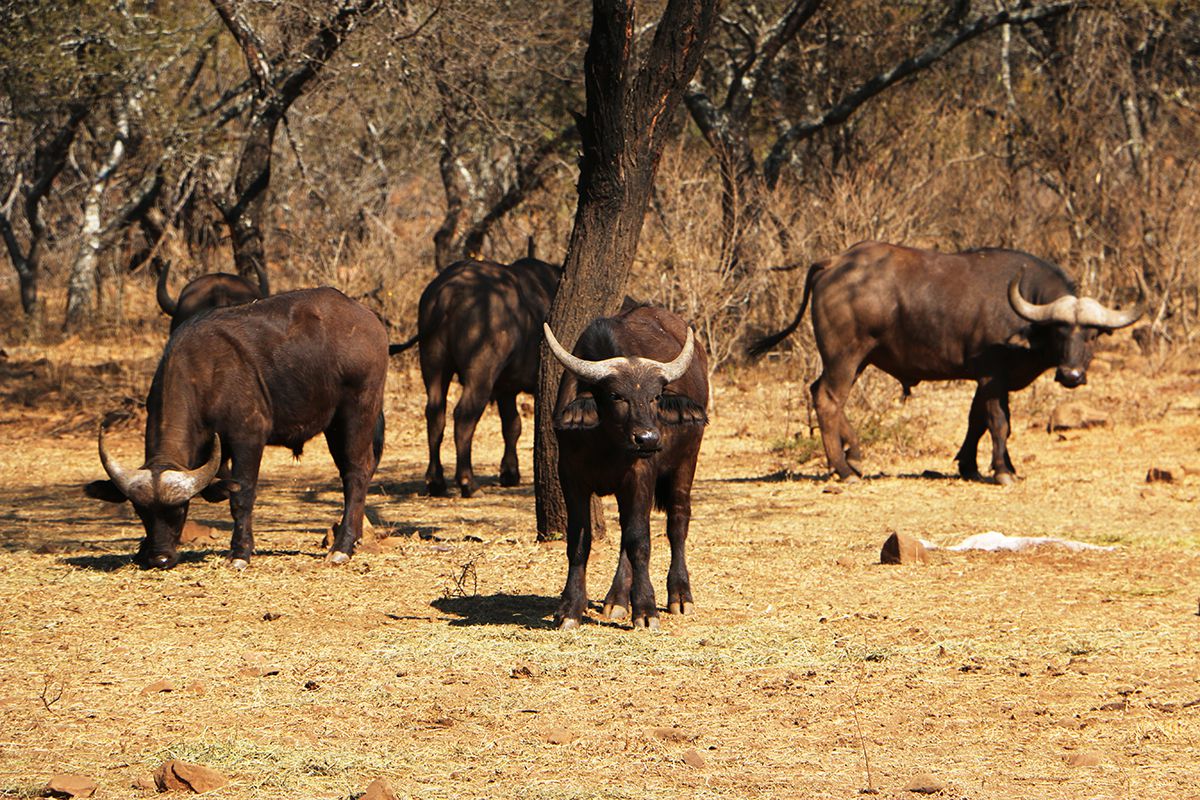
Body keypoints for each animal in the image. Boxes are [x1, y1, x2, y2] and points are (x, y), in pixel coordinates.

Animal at [84, 287, 384, 568]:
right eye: (140, 512)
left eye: (180, 510)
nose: (160, 558)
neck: (203, 373)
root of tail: (368, 318)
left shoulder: (247, 438)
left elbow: (242, 495)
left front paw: (240, 553)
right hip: (333, 425)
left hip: (356, 412)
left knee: (356, 473)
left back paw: (342, 547)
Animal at [393, 250, 561, 501]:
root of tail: (448, 291)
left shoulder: (506, 389)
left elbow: (512, 426)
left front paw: (509, 473)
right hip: (480, 374)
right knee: (464, 416)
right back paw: (468, 482)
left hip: (433, 366)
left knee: (435, 413)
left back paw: (436, 481)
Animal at [547, 307, 705, 633]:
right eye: (616, 395)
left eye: (656, 396)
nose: (649, 439)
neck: (606, 442)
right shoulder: (571, 478)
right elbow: (578, 542)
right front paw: (570, 608)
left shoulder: (640, 476)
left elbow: (639, 541)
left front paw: (645, 609)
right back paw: (618, 599)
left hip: (686, 462)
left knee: (677, 523)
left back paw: (680, 596)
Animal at [748, 241, 1142, 484]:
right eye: (1059, 331)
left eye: (1092, 335)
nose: (1071, 375)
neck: (1025, 317)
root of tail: (835, 262)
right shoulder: (993, 377)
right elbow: (999, 423)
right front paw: (1002, 470)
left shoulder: (983, 380)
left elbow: (976, 421)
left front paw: (970, 466)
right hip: (845, 355)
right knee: (828, 398)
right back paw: (843, 468)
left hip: (857, 359)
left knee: (819, 391)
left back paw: (854, 456)